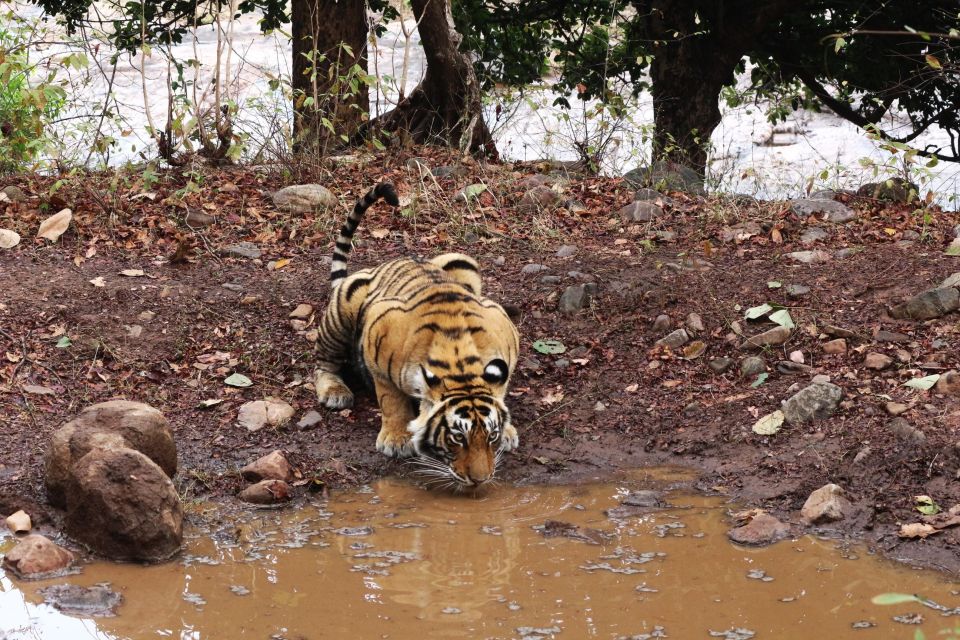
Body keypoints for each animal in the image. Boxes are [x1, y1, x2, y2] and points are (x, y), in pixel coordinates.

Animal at [316, 182, 520, 488]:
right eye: (457, 438)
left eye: (491, 435)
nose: (480, 480)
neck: (459, 361)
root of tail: (383, 264)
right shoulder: (379, 333)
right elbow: (391, 399)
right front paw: (397, 439)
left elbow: (500, 390)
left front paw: (507, 431)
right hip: (346, 305)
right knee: (323, 363)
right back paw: (334, 392)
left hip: (461, 260)